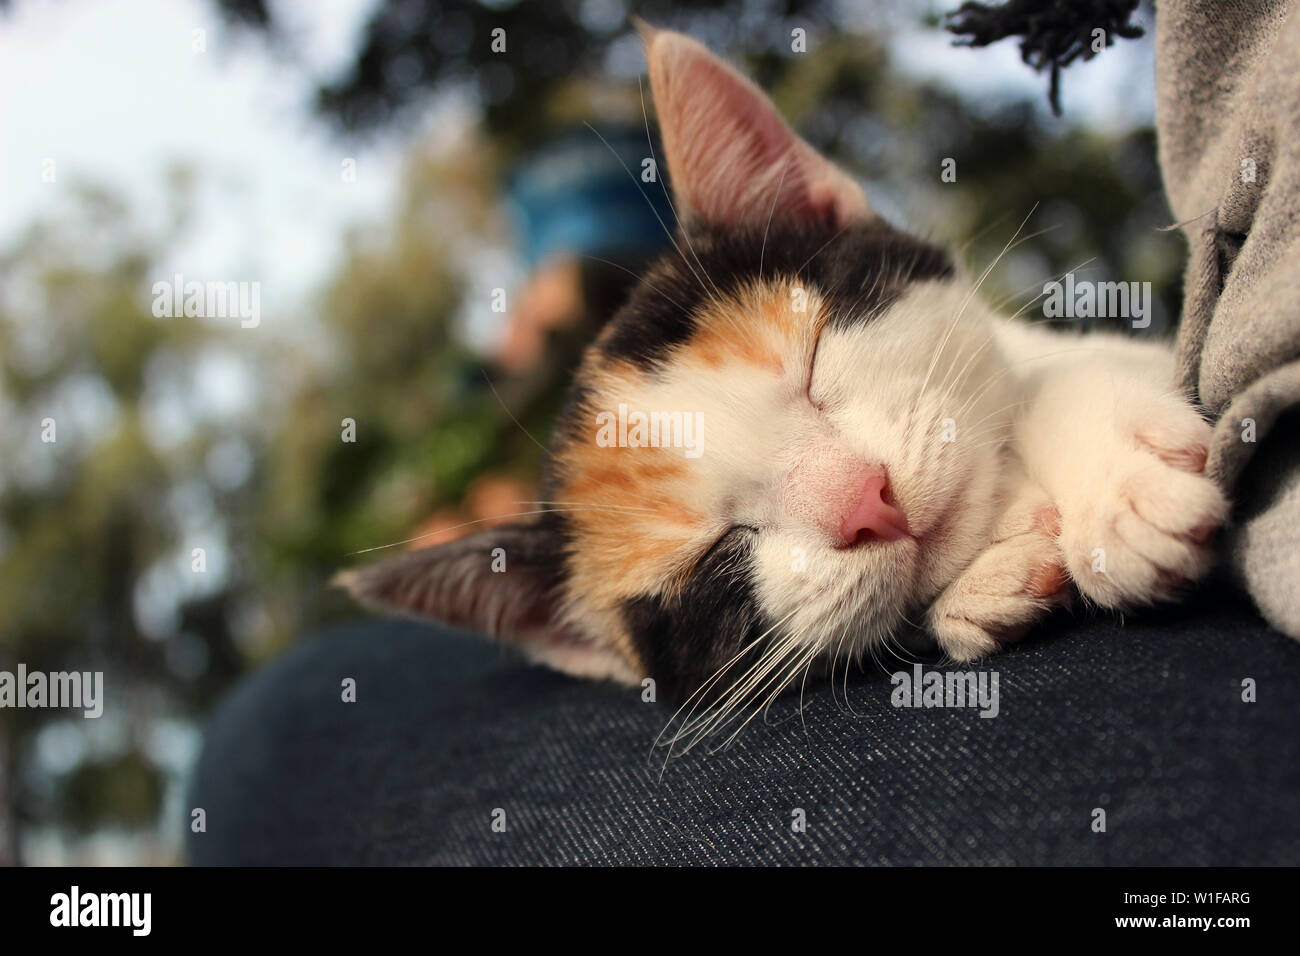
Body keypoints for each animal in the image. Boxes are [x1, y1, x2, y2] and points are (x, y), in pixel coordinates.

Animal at [338, 27, 1227, 712]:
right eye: (718, 553)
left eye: (813, 358)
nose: (867, 501)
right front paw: (984, 584)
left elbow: (1044, 373)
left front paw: (1118, 485)